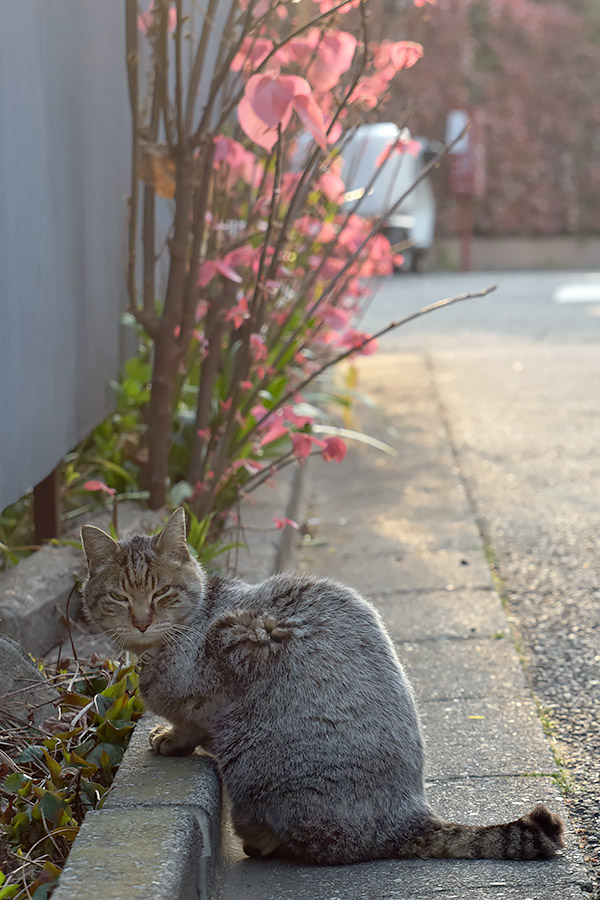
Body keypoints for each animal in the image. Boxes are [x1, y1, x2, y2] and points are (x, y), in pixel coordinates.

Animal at [82, 510, 564, 860]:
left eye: (161, 593)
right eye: (119, 597)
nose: (141, 620)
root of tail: (408, 817)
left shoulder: (238, 640)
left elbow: (192, 721)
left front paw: (171, 737)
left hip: (252, 758)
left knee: (315, 846)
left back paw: (258, 838)